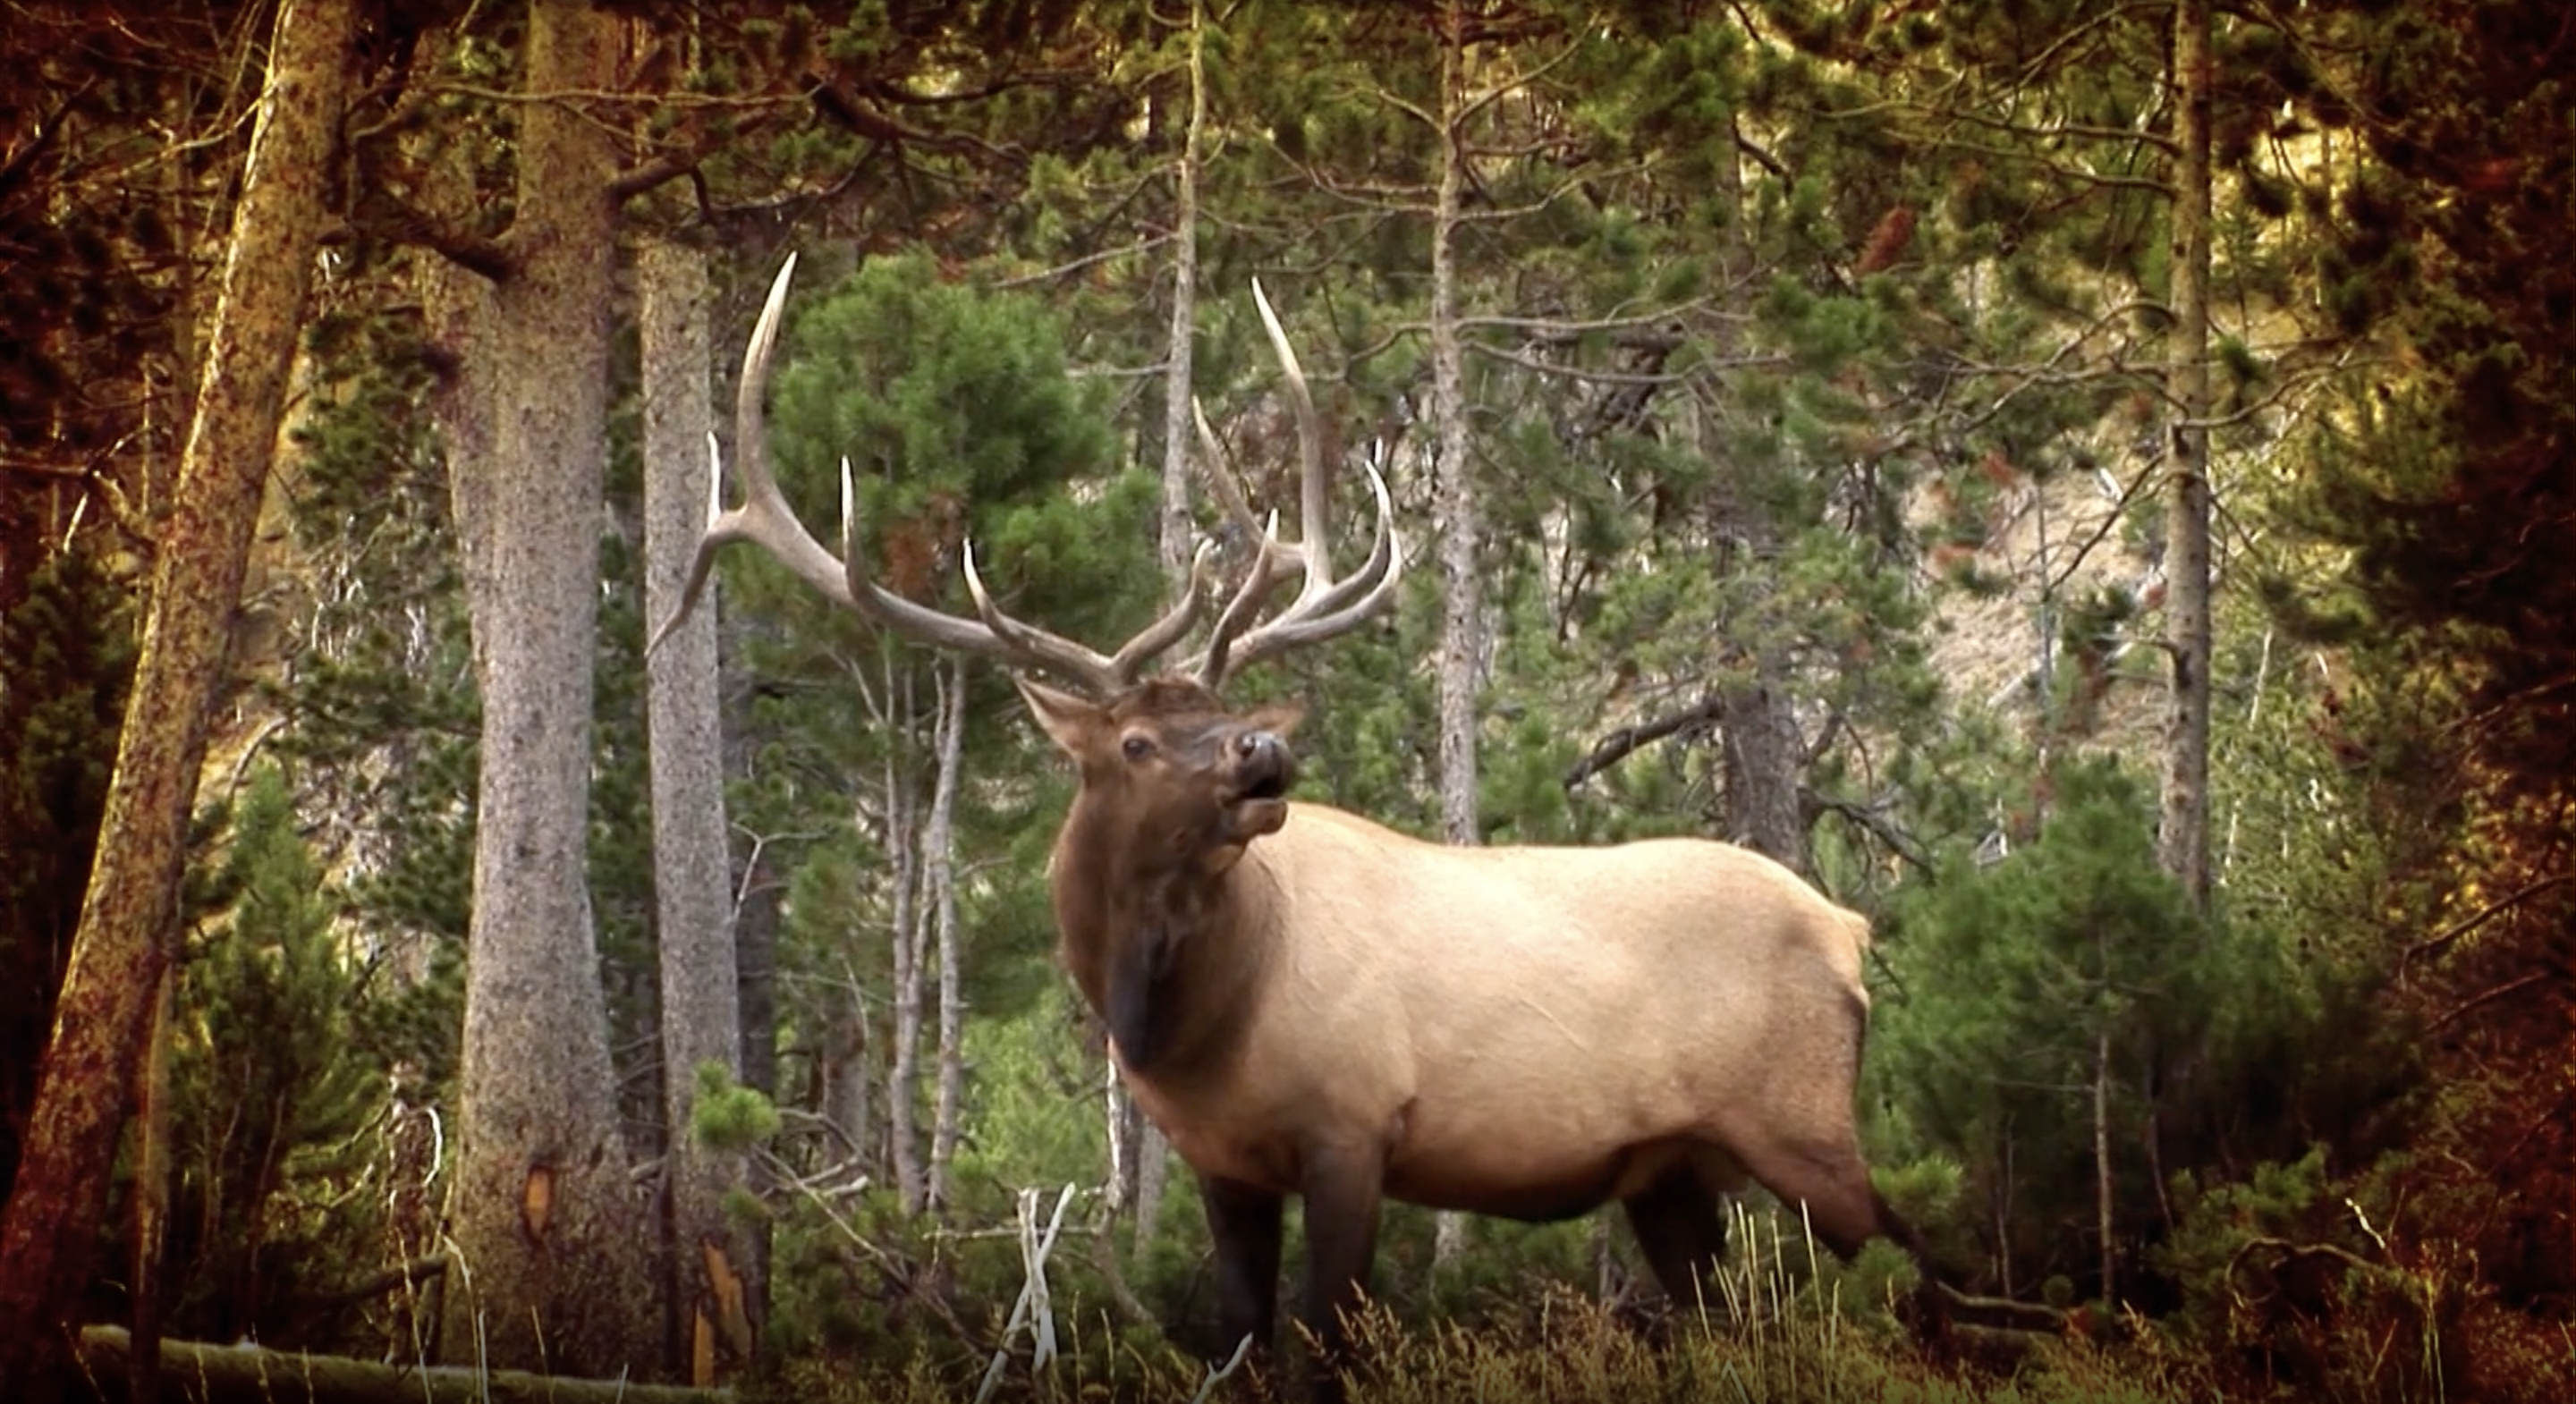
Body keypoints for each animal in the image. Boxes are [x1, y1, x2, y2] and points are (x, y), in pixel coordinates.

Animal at [657, 255, 1956, 1399]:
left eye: (1224, 712)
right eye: (1137, 741)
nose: (1262, 752)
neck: (1192, 1024)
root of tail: (1849, 925)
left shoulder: (1354, 1125)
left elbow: (1322, 1349)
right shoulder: (1221, 1161)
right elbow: (1241, 1340)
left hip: (1803, 1121)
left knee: (1927, 1275)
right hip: (1671, 1168)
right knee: (1727, 1315)